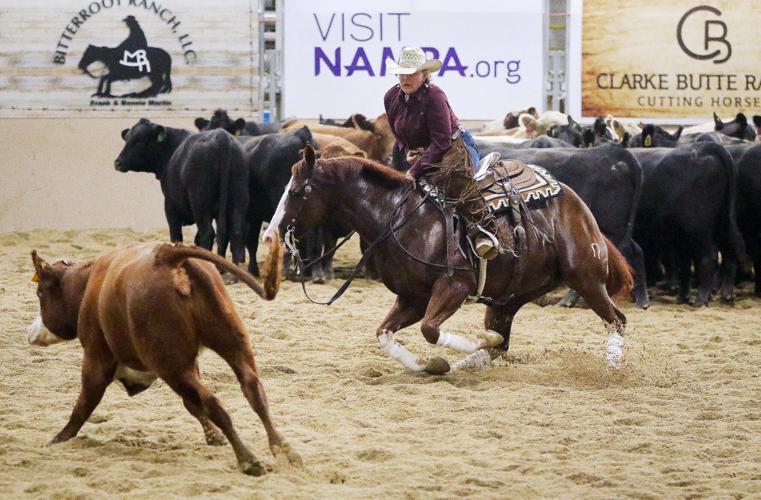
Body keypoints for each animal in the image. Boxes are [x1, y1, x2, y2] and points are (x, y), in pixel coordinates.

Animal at [267, 145, 633, 374]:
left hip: (587, 278)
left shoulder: (454, 287)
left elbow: (430, 330)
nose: (271, 233)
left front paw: (459, 352)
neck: (399, 218)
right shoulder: (413, 298)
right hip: (507, 300)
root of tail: (575, 202)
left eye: (297, 192)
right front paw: (431, 365)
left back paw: (612, 369)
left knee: (617, 320)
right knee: (502, 341)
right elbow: (384, 334)